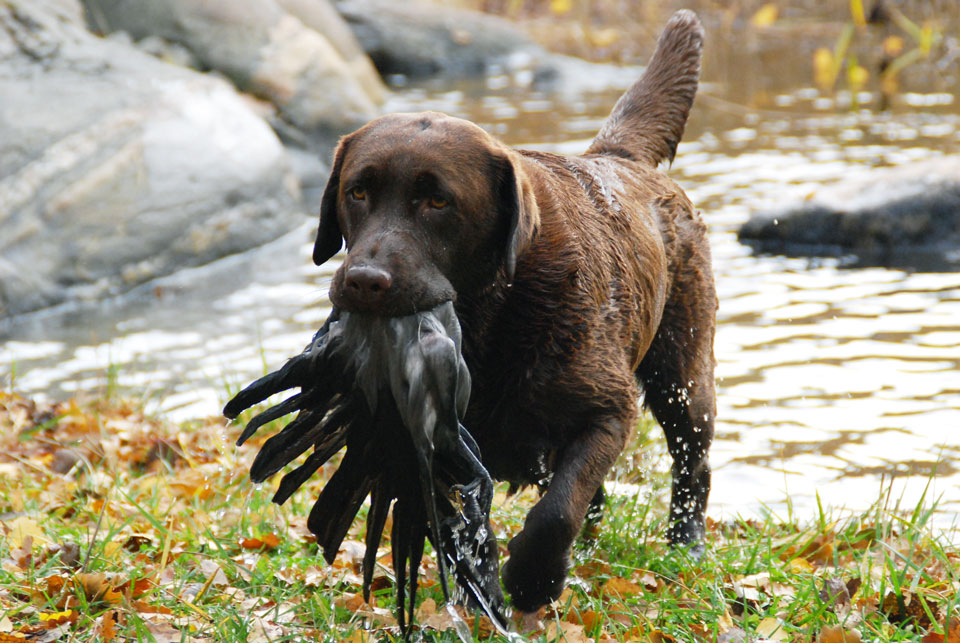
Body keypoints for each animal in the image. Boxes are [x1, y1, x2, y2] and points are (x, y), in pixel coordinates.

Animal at [312, 12, 716, 612]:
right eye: (357, 192)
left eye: (438, 202)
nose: (364, 280)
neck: (491, 316)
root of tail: (616, 157)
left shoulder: (608, 410)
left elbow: (556, 511)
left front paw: (532, 581)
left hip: (682, 373)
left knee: (691, 460)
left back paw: (685, 543)